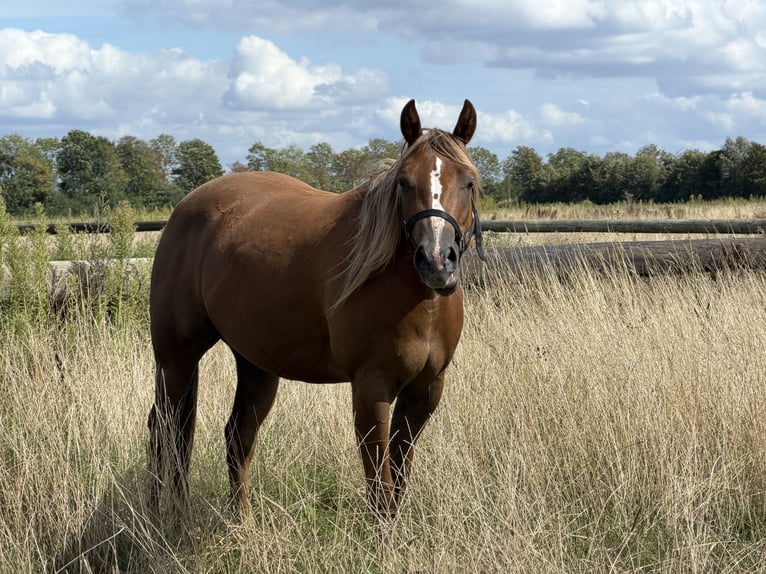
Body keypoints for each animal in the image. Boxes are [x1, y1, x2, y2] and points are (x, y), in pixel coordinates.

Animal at [147, 99, 485, 523]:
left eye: (468, 182)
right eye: (404, 182)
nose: (436, 261)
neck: (415, 299)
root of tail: (185, 208)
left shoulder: (425, 391)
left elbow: (398, 483)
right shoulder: (371, 389)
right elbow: (380, 489)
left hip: (256, 365)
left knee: (236, 439)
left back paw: (241, 526)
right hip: (175, 359)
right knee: (164, 434)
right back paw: (164, 518)